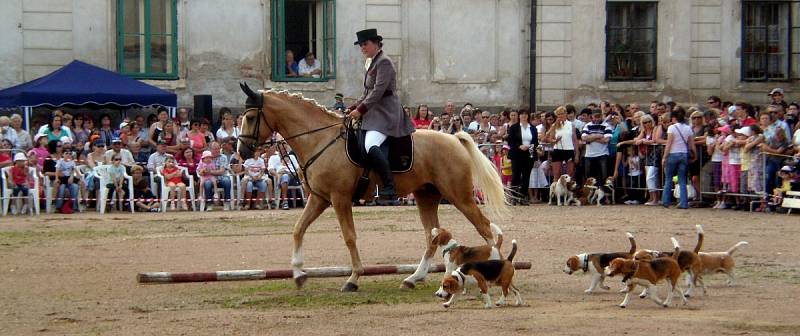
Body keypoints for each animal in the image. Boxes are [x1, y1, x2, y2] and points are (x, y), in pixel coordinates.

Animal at [236, 83, 506, 292]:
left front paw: (353, 278)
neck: (320, 140)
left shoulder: (339, 198)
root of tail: (454, 138)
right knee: (433, 238)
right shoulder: (319, 198)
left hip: (459, 196)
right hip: (426, 196)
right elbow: (298, 229)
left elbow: (349, 237)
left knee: (484, 228)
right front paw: (299, 274)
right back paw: (413, 278)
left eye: (250, 117)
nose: (242, 152)